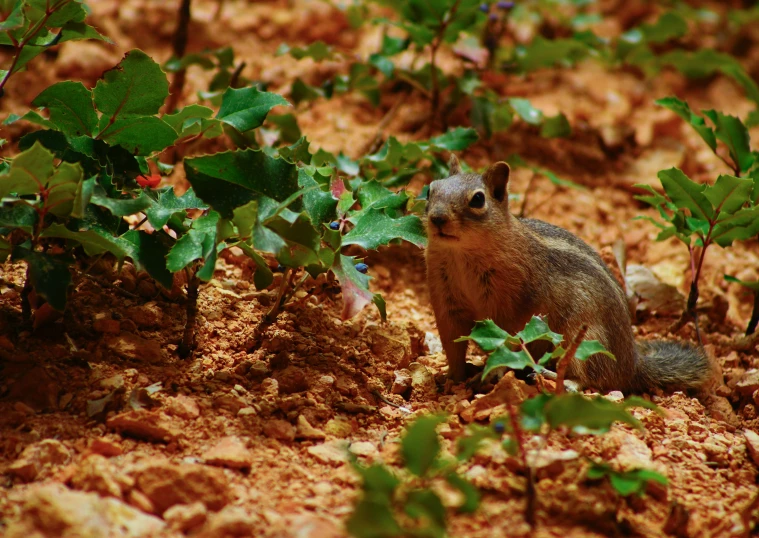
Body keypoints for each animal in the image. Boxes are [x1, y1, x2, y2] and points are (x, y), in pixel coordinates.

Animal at [428, 157, 712, 392]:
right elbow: (452, 344)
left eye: (478, 199)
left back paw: (551, 376)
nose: (437, 218)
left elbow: (507, 343)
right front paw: (451, 378)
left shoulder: (511, 308)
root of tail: (632, 366)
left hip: (584, 338)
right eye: (430, 188)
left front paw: (492, 372)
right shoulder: (447, 303)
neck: (461, 254)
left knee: (588, 379)